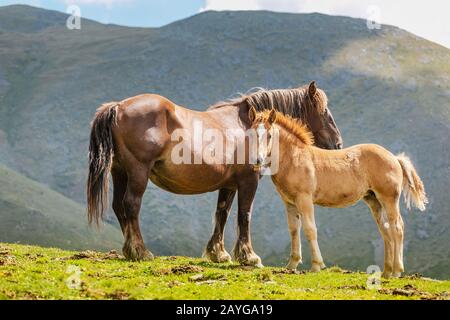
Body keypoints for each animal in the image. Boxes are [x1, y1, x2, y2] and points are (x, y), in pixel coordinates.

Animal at [87, 81, 342, 266]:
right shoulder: (248, 181)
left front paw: (218, 253)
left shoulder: (228, 185)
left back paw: (130, 250)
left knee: (119, 207)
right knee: (131, 204)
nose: (338, 144)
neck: (246, 127)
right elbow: (244, 215)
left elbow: (222, 214)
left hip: (120, 172)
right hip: (138, 171)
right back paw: (140, 251)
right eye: (324, 111)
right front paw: (249, 256)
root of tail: (117, 107)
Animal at [251, 110, 428, 278]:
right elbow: (294, 229)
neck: (295, 157)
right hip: (374, 200)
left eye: (269, 135)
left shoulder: (304, 199)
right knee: (386, 230)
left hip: (389, 199)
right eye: (252, 134)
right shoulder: (289, 202)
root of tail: (395, 158)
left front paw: (317, 265)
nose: (257, 160)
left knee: (397, 227)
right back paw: (386, 272)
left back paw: (397, 270)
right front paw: (291, 265)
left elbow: (310, 229)